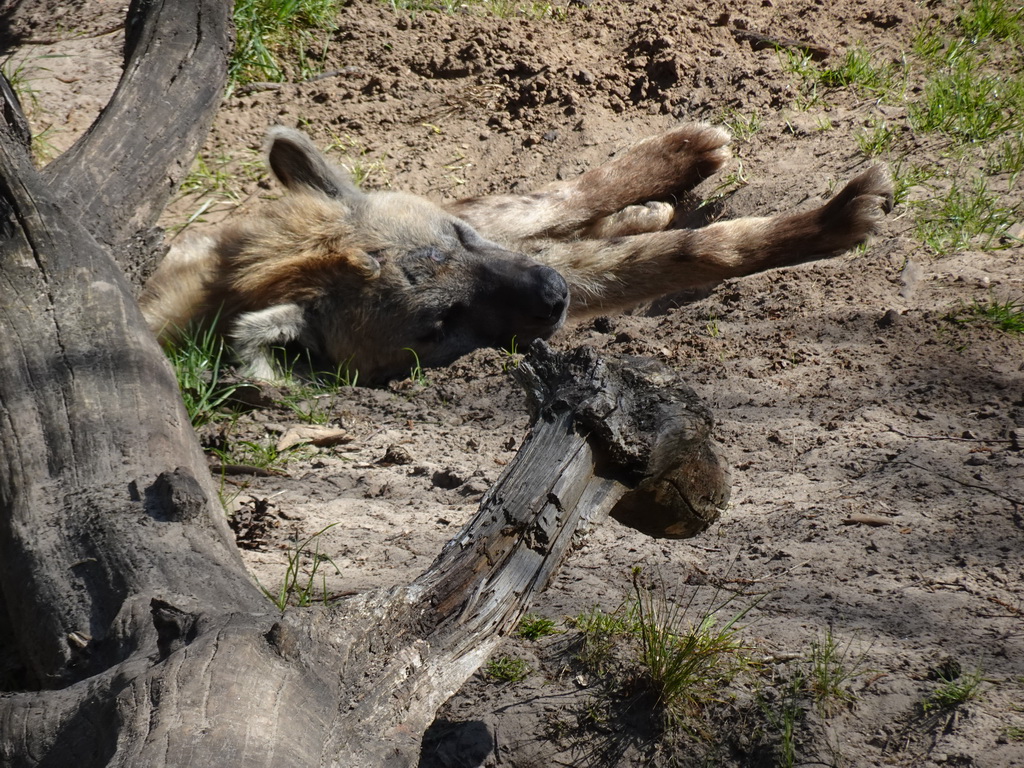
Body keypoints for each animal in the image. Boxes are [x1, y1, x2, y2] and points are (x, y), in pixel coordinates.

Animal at [140, 125, 892, 385]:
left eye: (457, 238)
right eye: (440, 325)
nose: (552, 297)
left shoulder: (490, 234)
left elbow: (551, 200)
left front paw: (684, 154)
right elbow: (660, 258)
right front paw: (839, 217)